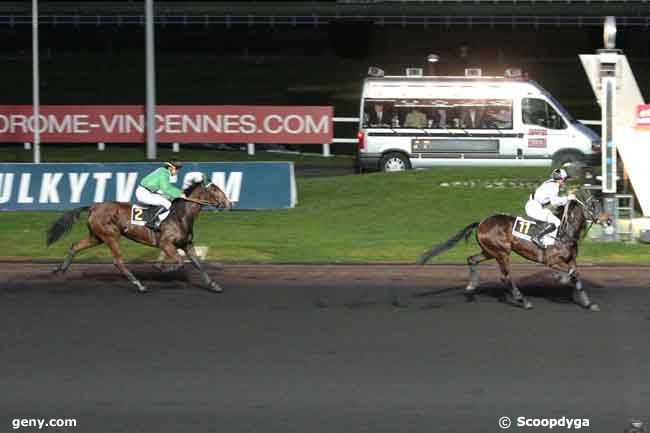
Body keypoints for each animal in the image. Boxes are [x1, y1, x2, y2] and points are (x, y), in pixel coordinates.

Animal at [44, 179, 230, 294]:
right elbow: (179, 262)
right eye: (214, 189)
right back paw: (139, 285)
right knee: (118, 261)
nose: (229, 203)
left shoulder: (187, 244)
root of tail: (93, 207)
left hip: (97, 237)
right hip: (111, 236)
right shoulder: (165, 243)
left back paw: (60, 269)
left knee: (75, 246)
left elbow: (198, 264)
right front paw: (161, 268)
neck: (180, 215)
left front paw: (214, 285)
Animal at [418, 192, 612, 310]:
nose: (608, 221)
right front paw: (561, 279)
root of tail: (481, 222)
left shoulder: (570, 259)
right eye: (594, 204)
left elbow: (576, 275)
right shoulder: (552, 261)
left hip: (489, 251)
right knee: (505, 277)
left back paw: (471, 287)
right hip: (502, 253)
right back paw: (523, 301)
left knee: (471, 259)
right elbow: (572, 274)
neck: (565, 231)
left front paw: (588, 303)